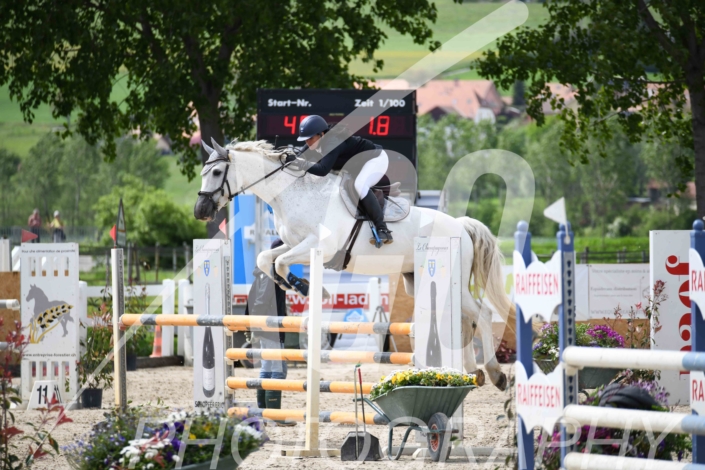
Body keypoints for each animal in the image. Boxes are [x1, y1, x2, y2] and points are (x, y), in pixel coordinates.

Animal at [193, 139, 515, 389]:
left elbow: (282, 262)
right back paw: (472, 372)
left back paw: (496, 374)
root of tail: (461, 226)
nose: (200, 211)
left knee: (483, 314)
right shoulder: (292, 244)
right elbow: (266, 258)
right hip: (426, 280)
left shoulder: (319, 248)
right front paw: (293, 285)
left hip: (448, 278)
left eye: (218, 172)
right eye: (202, 173)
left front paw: (305, 287)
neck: (292, 193)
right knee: (467, 319)